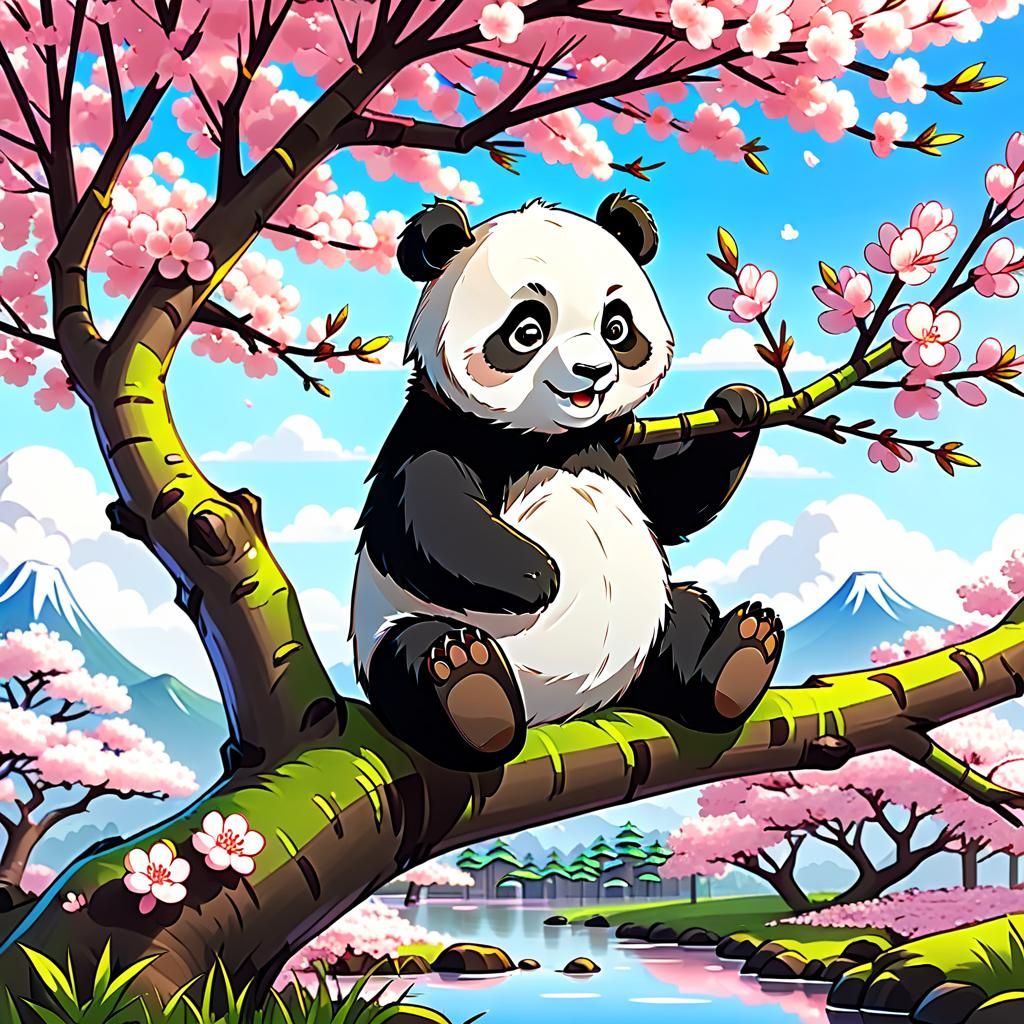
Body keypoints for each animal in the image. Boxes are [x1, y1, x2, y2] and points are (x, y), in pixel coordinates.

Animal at [350, 193, 783, 772]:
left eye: (616, 327)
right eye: (527, 330)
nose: (592, 371)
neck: (550, 441)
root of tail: (555, 710)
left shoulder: (616, 444)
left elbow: (674, 502)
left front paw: (738, 405)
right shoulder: (435, 432)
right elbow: (424, 518)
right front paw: (539, 574)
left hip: (650, 635)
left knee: (688, 617)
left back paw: (740, 658)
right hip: (395, 633)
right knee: (415, 651)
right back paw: (471, 691)